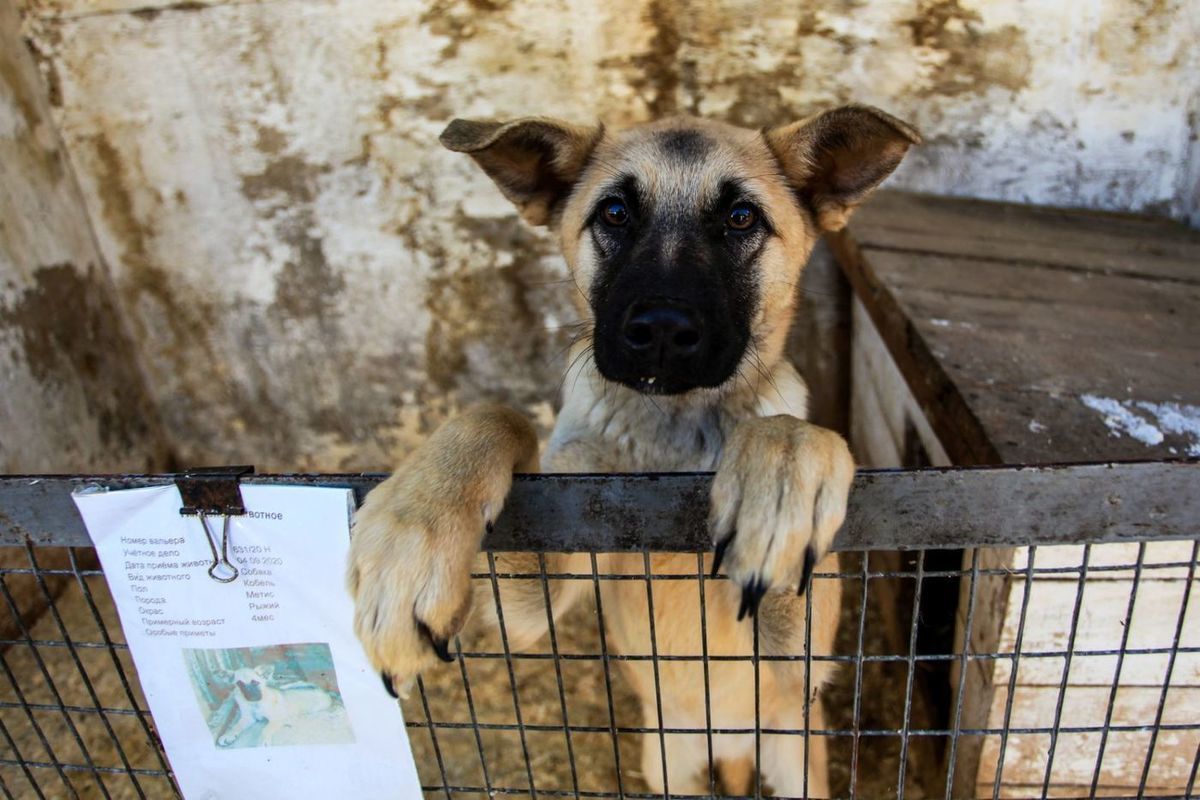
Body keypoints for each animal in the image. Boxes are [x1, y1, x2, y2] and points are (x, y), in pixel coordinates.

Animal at [345, 104, 916, 796]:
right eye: (615, 213)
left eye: (741, 217)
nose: (663, 330)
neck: (672, 433)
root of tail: (728, 744)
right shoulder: (542, 582)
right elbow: (499, 415)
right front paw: (412, 533)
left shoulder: (801, 663)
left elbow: (785, 431)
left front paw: (780, 478)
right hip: (667, 763)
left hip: (795, 757)